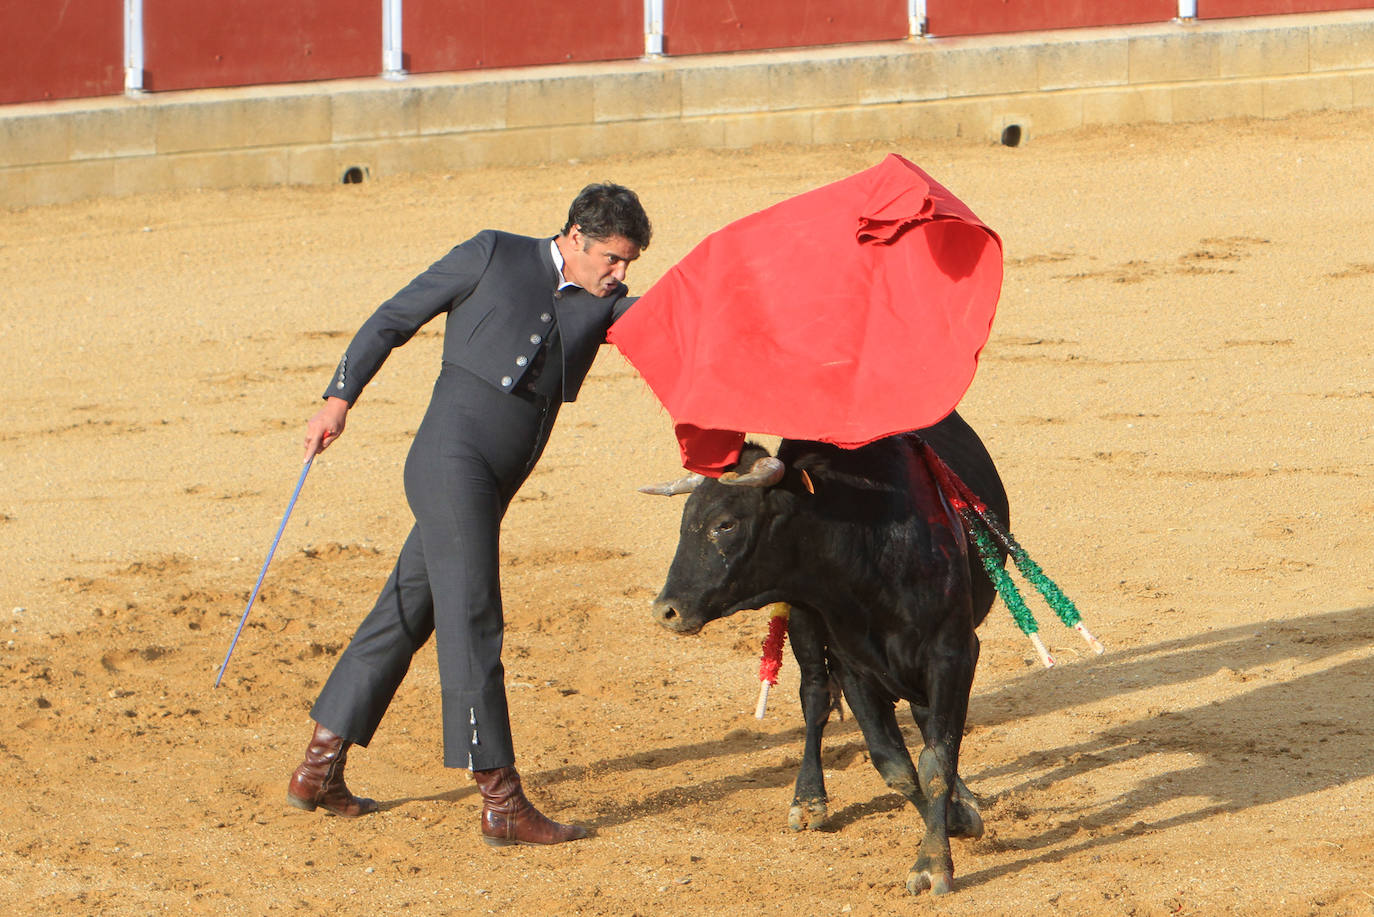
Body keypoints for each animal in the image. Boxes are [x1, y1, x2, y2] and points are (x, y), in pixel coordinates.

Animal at [643, 415, 1011, 896]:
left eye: (725, 524)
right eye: (686, 519)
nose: (666, 610)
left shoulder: (953, 654)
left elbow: (934, 759)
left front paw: (936, 859)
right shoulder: (852, 666)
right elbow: (894, 764)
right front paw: (952, 821)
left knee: (924, 720)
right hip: (803, 625)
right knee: (815, 698)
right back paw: (809, 800)